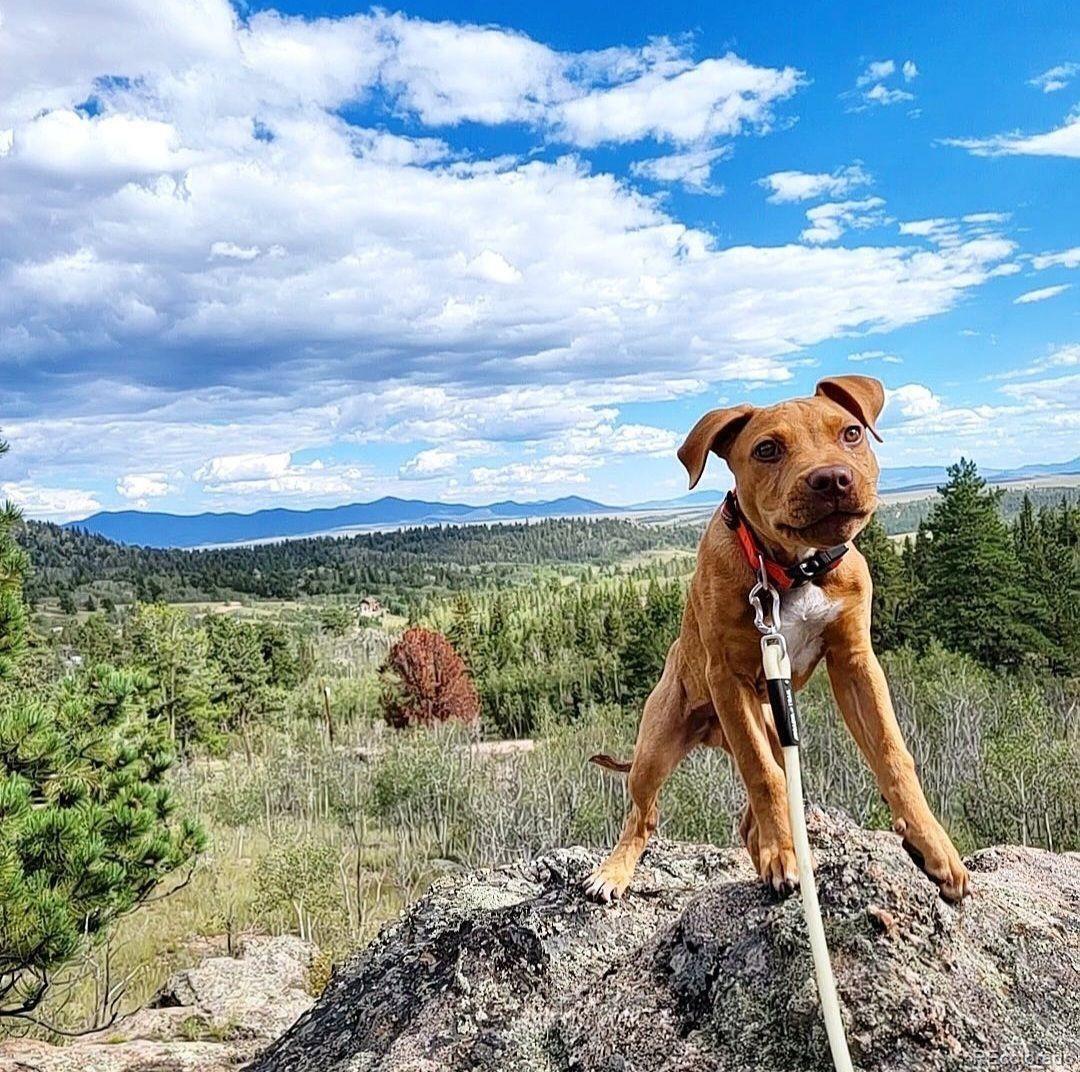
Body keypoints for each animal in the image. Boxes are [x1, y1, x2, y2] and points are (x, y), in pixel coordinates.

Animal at [583, 375, 972, 902]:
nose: (832, 479)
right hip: (658, 746)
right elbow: (761, 774)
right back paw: (616, 871)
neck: (794, 569)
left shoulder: (855, 663)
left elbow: (893, 754)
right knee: (644, 816)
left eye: (851, 433)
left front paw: (934, 846)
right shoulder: (729, 680)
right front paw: (782, 855)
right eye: (766, 449)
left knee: (749, 820)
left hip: (770, 729)